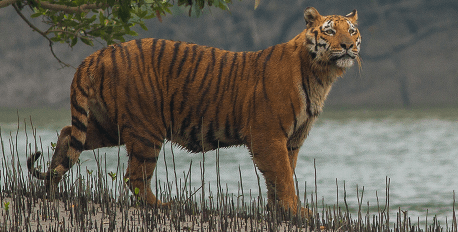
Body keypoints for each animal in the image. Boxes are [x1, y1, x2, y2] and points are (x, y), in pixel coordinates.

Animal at [27, 7, 362, 218]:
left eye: (352, 31)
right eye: (330, 31)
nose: (348, 46)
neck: (321, 74)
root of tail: (99, 53)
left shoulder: (292, 140)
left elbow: (281, 176)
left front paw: (279, 211)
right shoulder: (269, 135)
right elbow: (282, 176)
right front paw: (295, 211)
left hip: (109, 125)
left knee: (68, 134)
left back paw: (50, 188)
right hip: (146, 130)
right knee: (135, 177)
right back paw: (163, 206)